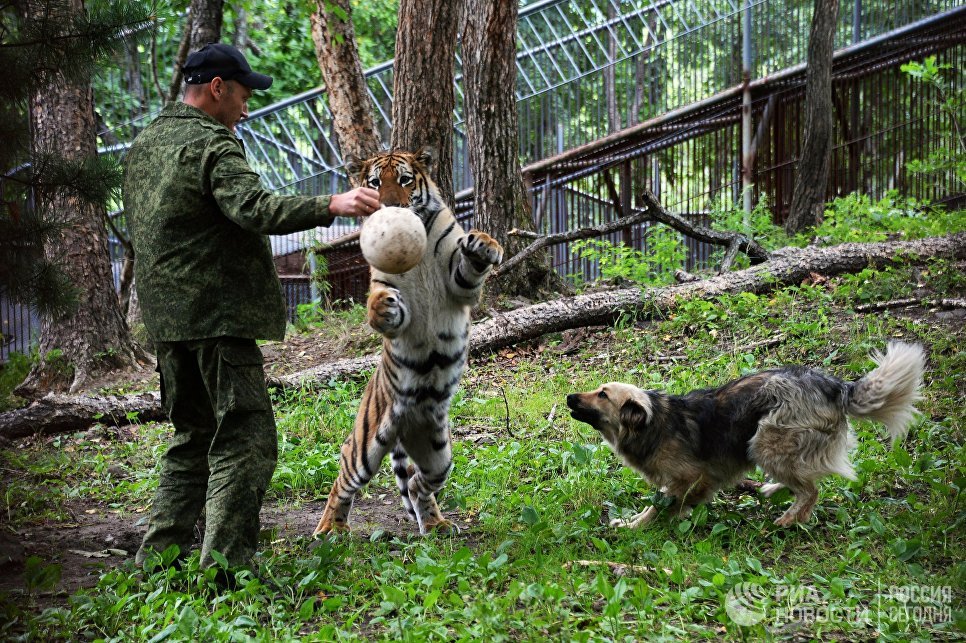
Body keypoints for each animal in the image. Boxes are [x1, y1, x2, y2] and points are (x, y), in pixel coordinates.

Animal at [314, 150, 506, 540]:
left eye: (404, 180)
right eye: (375, 183)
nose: (389, 206)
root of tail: (404, 426)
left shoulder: (459, 284)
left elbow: (469, 267)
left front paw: (485, 245)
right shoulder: (384, 280)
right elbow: (382, 301)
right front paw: (381, 308)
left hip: (437, 451)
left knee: (419, 483)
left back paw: (435, 524)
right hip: (366, 444)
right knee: (344, 475)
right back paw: (329, 529)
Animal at [572, 342, 928, 528]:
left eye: (602, 394)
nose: (568, 397)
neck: (654, 423)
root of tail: (835, 385)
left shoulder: (690, 475)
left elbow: (660, 505)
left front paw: (637, 526)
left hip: (765, 441)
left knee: (811, 490)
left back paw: (789, 519)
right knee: (804, 479)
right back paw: (774, 490)